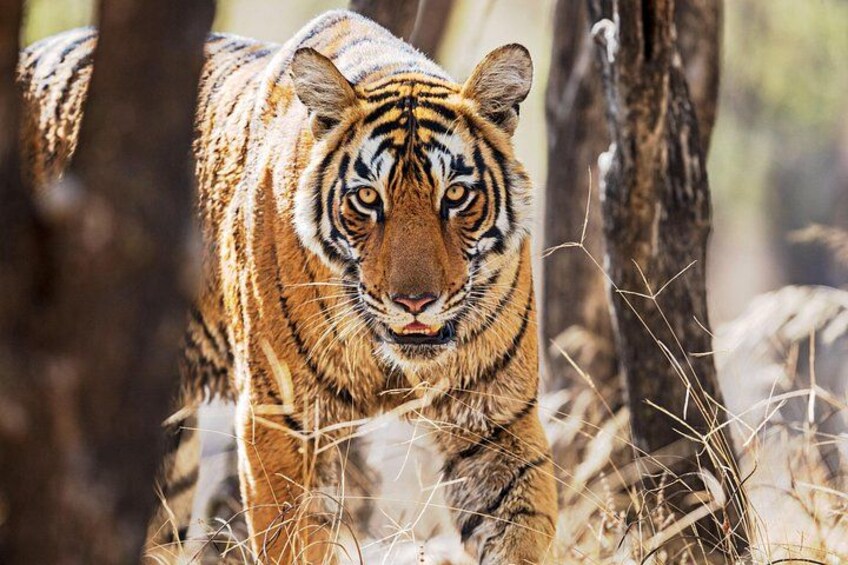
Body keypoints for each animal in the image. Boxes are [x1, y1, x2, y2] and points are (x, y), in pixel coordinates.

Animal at [17, 10, 557, 564]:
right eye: (368, 198)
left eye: (455, 195)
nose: (414, 302)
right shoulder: (280, 419)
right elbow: (292, 539)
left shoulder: (496, 422)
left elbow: (518, 532)